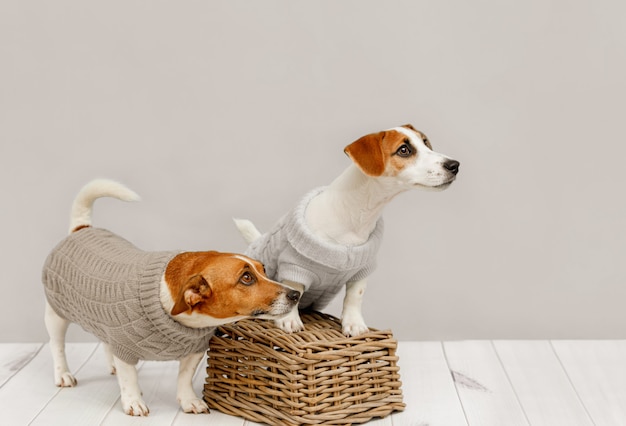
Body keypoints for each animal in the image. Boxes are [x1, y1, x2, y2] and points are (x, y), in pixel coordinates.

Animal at [42, 179, 300, 416]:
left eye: (263, 269)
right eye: (246, 278)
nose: (295, 294)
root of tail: (82, 228)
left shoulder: (194, 351)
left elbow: (184, 378)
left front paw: (189, 401)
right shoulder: (124, 345)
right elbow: (129, 378)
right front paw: (133, 401)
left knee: (104, 340)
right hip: (56, 315)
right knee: (57, 346)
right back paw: (63, 374)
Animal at [232, 123, 456, 336]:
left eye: (426, 143)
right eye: (404, 150)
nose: (455, 165)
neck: (357, 216)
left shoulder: (362, 270)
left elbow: (354, 298)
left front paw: (354, 324)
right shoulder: (294, 266)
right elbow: (294, 291)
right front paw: (289, 320)